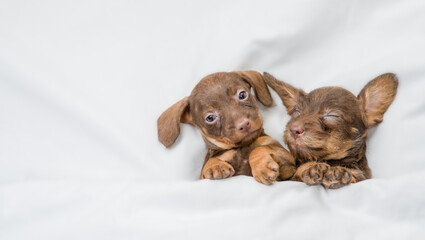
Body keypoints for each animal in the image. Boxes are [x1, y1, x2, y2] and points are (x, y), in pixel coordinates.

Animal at [157, 70, 294, 185]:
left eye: (242, 94)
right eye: (210, 118)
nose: (244, 124)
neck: (241, 147)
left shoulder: (288, 162)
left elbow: (259, 149)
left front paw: (262, 166)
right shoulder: (202, 178)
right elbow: (210, 162)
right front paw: (214, 165)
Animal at [264, 72, 398, 188]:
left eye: (332, 115)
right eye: (297, 112)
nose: (293, 129)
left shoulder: (364, 177)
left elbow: (355, 173)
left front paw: (339, 173)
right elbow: (303, 167)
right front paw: (312, 168)